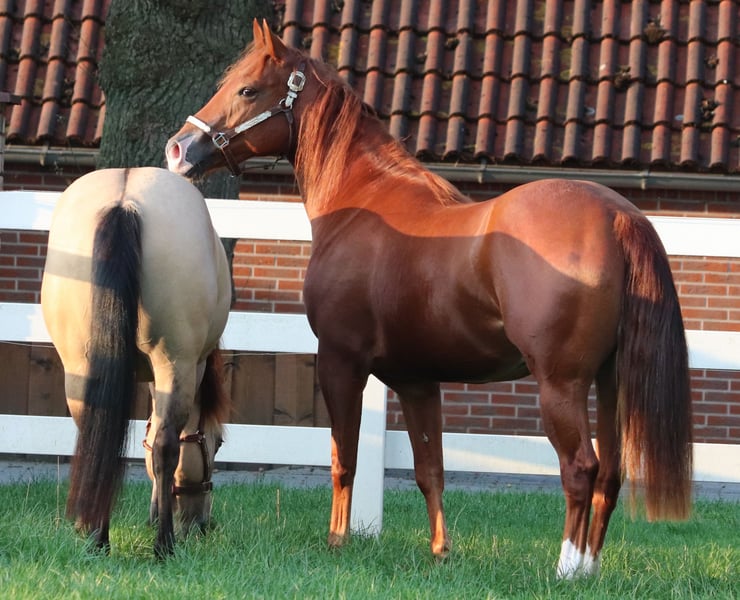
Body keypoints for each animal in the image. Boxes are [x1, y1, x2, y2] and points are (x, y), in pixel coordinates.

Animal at [41, 167, 232, 557]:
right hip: (175, 362)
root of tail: (124, 202)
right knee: (165, 446)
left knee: (94, 436)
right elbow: (161, 441)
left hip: (79, 366)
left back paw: (97, 537)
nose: (202, 524)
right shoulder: (189, 368)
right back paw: (164, 545)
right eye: (217, 443)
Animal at [165, 20, 693, 579]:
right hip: (611, 383)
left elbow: (345, 458)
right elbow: (429, 469)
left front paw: (337, 541)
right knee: (611, 473)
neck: (364, 202)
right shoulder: (416, 381)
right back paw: (588, 568)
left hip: (562, 386)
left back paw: (566, 569)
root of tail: (617, 216)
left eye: (247, 90)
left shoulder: (340, 362)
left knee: (580, 469)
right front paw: (441, 552)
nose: (177, 150)